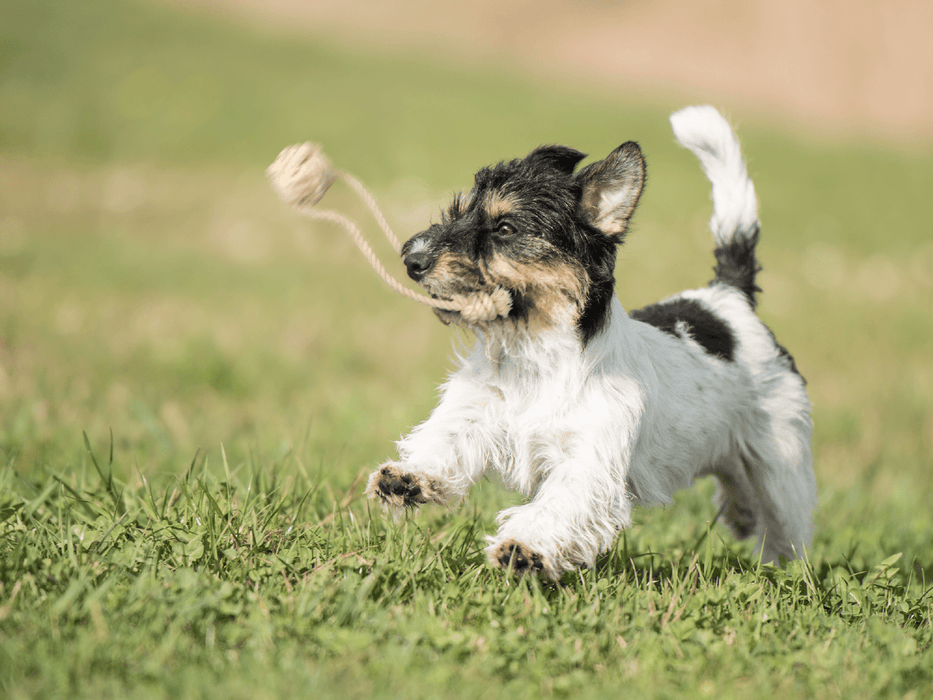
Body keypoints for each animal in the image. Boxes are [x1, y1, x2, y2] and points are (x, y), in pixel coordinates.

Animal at [364, 105, 816, 580]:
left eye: (505, 227)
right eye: (456, 213)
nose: (411, 258)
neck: (535, 349)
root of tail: (729, 297)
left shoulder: (588, 460)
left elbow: (560, 504)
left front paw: (522, 547)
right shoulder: (478, 412)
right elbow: (445, 440)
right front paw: (407, 476)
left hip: (779, 460)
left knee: (784, 521)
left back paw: (783, 569)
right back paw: (742, 517)